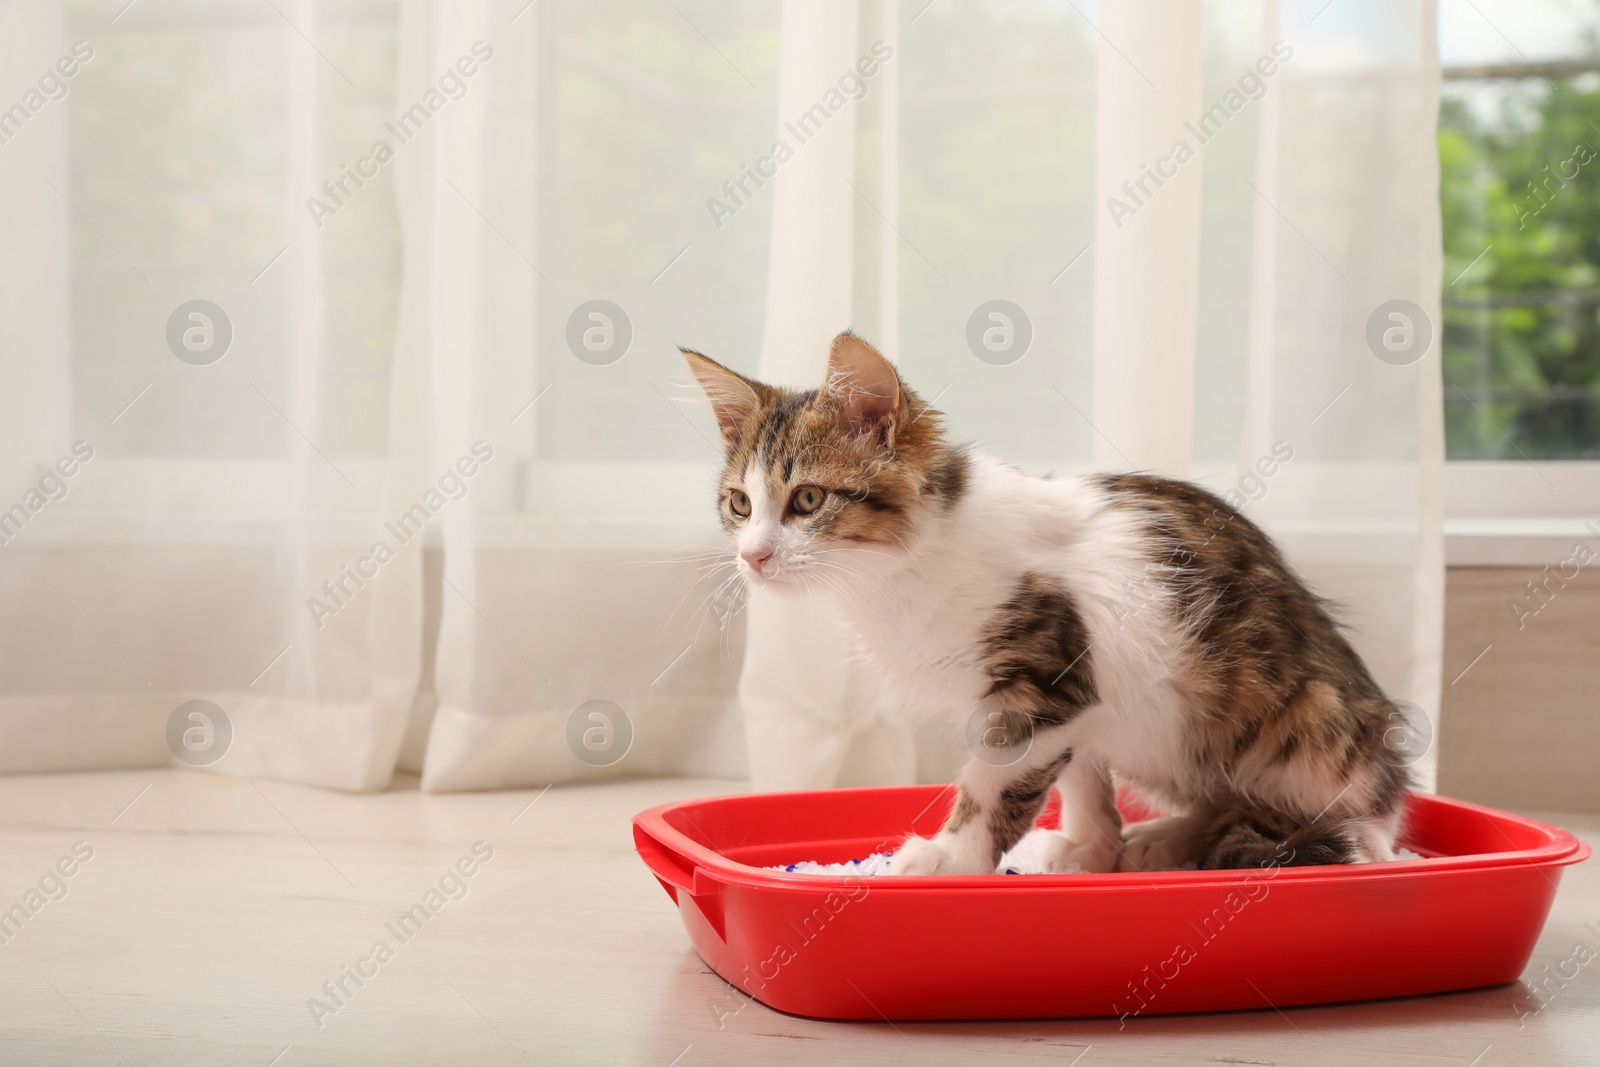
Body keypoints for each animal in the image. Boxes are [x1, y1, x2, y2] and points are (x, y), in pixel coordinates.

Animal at [681, 334, 1408, 876]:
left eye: (807, 500)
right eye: (739, 504)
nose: (753, 556)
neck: (903, 569)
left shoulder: (1045, 681)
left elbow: (990, 782)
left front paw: (950, 860)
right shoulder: (1081, 707)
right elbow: (1081, 780)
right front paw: (1092, 846)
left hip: (1300, 722)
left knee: (1362, 824)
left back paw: (1349, 847)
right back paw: (1164, 839)